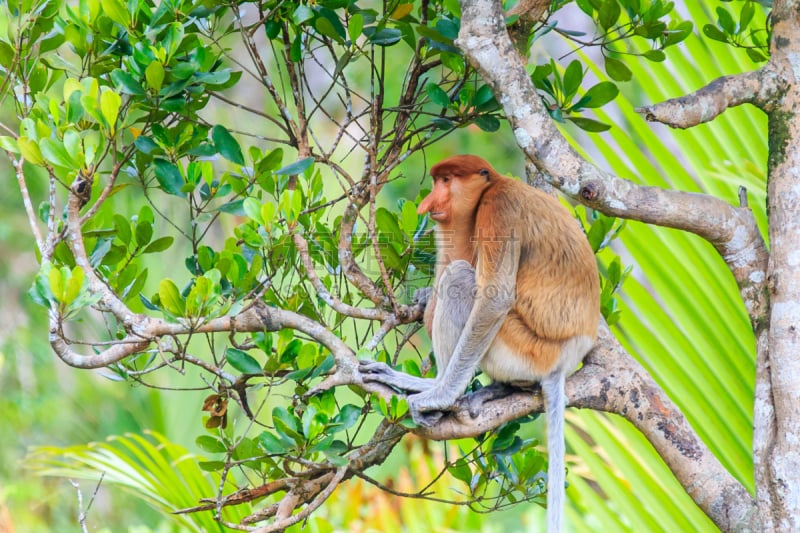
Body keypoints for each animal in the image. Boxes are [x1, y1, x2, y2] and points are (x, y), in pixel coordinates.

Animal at [360, 154, 596, 532]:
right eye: (436, 180)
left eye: (446, 181)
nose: (429, 203)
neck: (493, 184)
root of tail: (566, 357)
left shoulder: (497, 209)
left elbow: (493, 297)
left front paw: (437, 397)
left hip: (524, 349)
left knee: (460, 278)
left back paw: (443, 394)